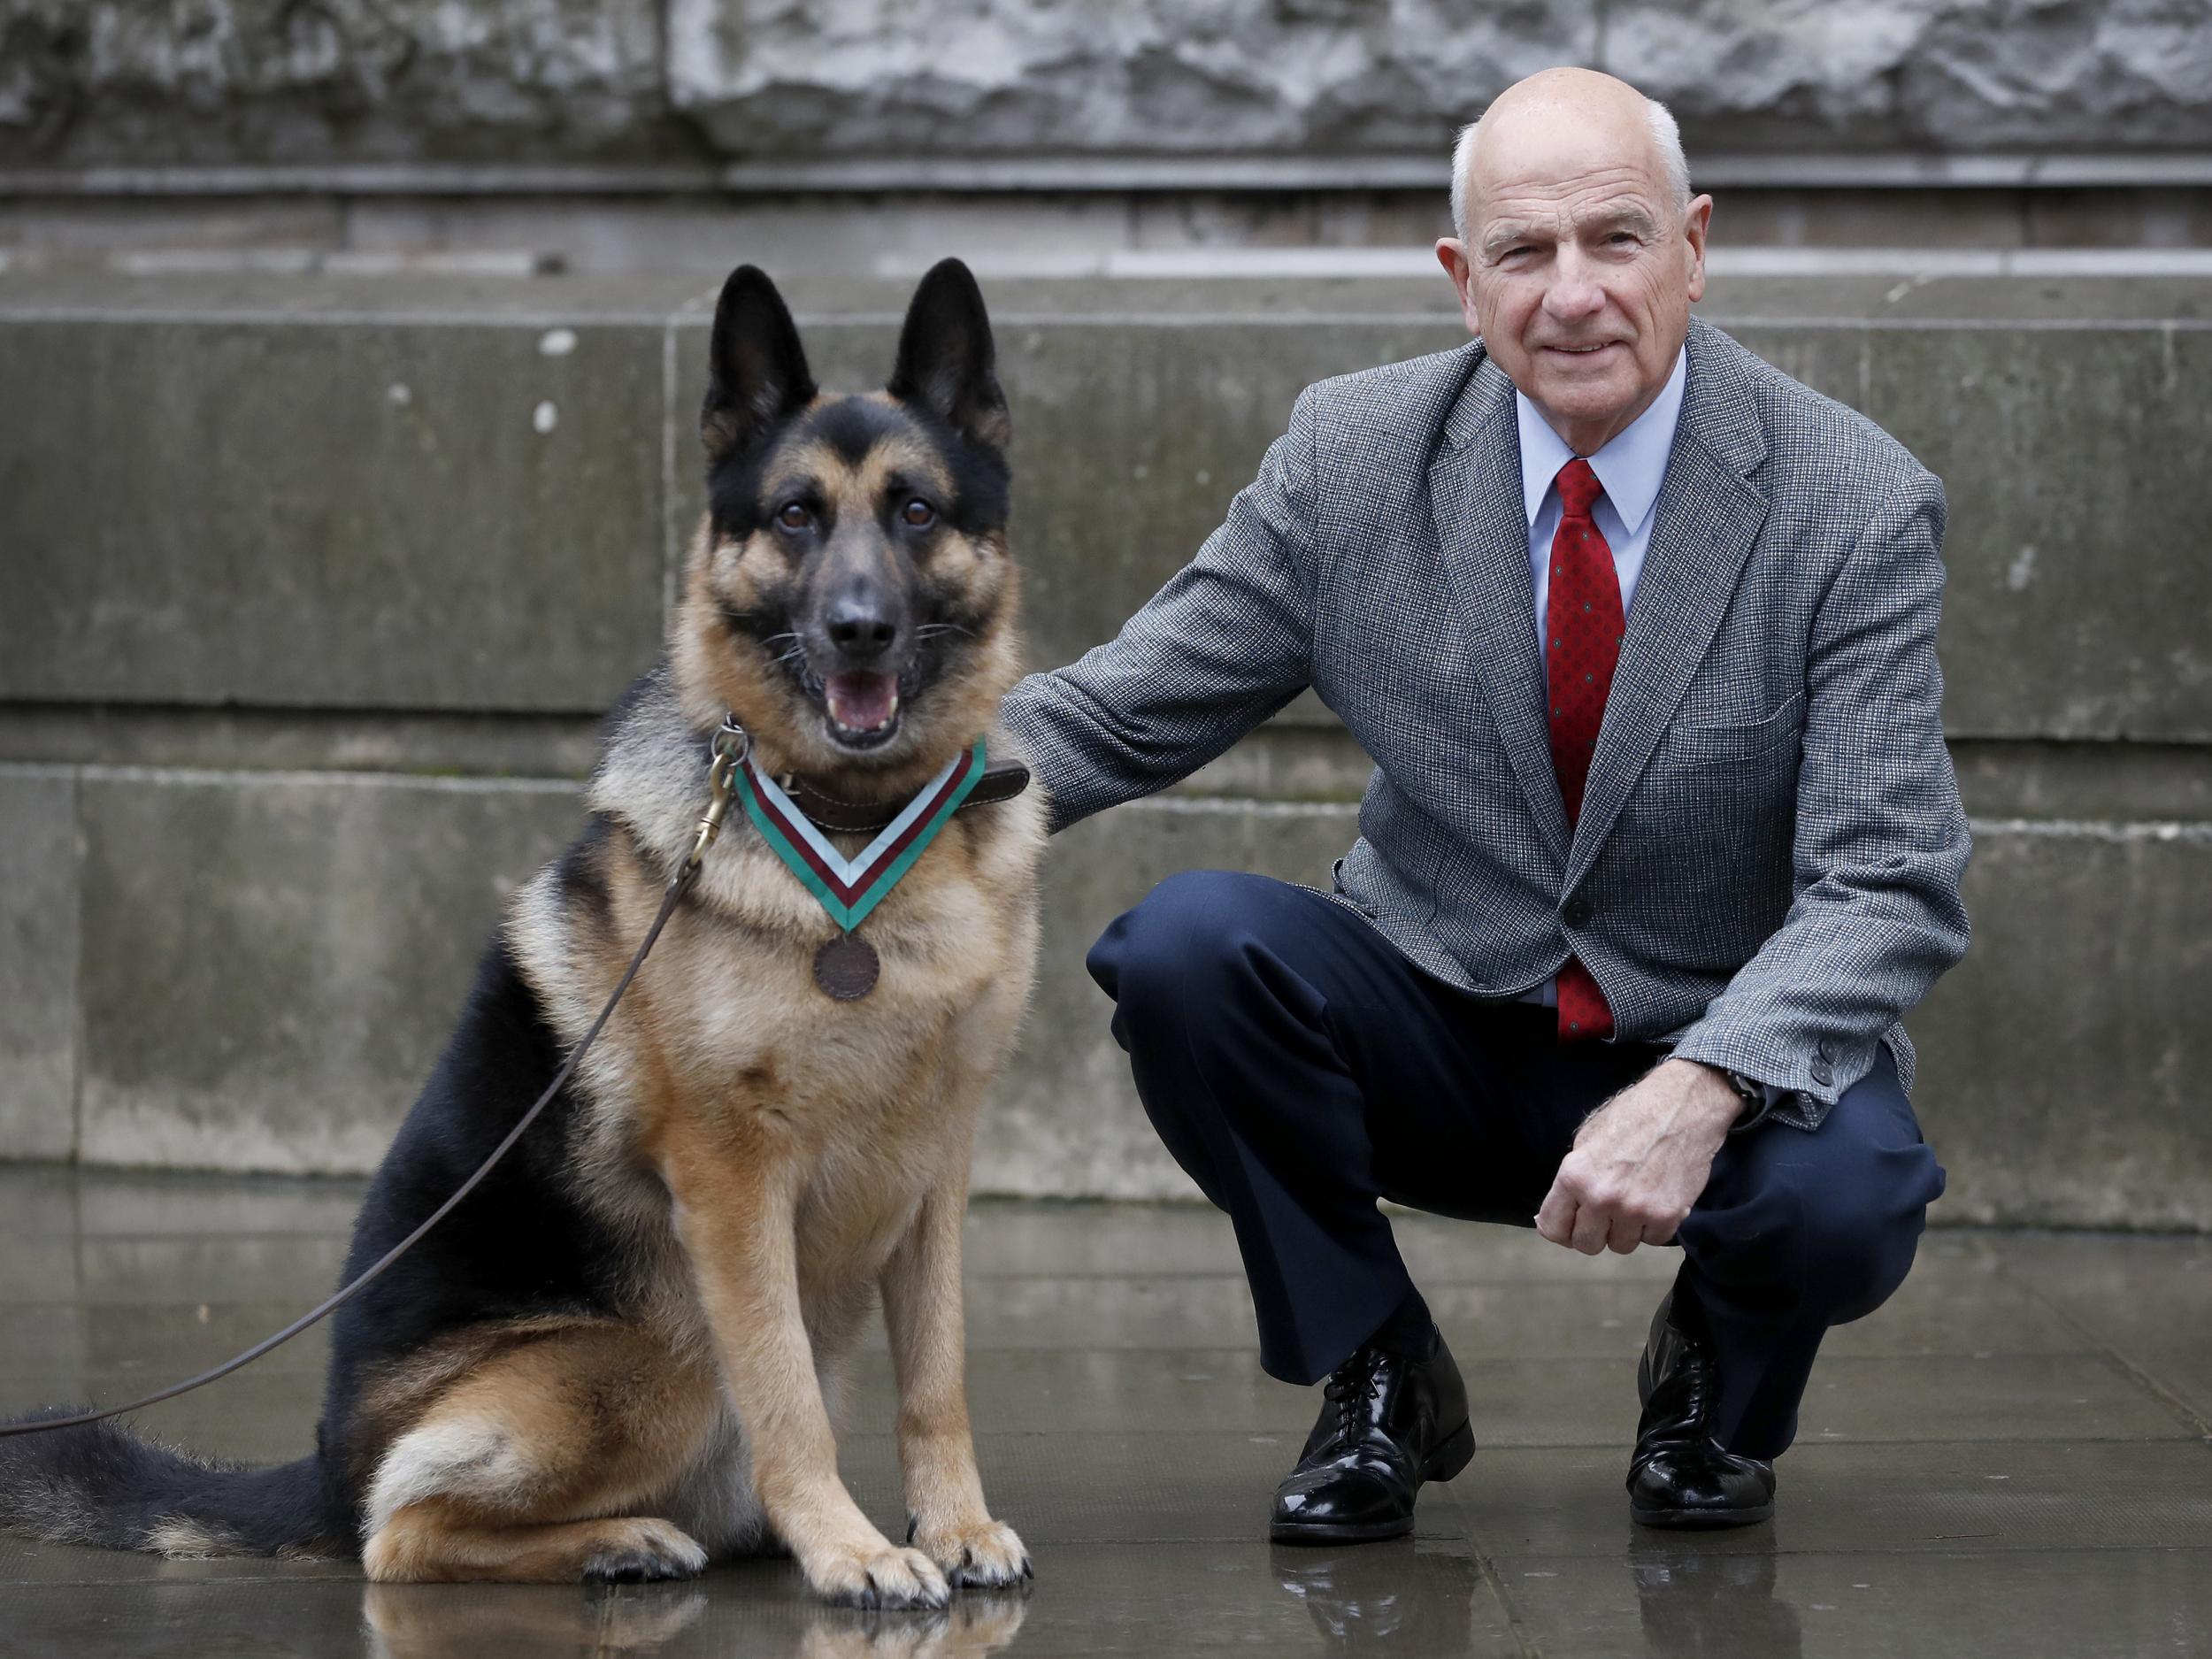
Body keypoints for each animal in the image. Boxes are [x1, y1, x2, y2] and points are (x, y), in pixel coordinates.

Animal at [0, 259, 1044, 1610]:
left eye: (916, 511)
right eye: (796, 516)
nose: (859, 627)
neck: (851, 827)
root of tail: (326, 1464)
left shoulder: (935, 1173)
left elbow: (939, 1376)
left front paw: (951, 1523)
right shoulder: (732, 1185)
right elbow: (787, 1399)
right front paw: (853, 1547)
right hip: (653, 1352)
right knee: (400, 1533)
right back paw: (621, 1540)